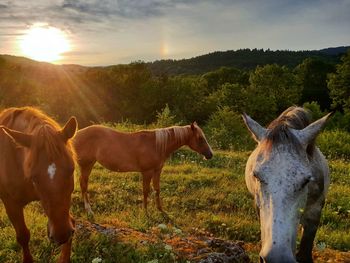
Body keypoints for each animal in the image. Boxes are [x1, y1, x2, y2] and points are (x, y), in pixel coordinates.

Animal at [0, 108, 77, 263]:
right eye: (34, 177)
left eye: (71, 169)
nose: (61, 235)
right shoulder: (11, 204)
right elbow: (23, 236)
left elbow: (71, 220)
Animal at [72, 122, 212, 216]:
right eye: (200, 138)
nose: (210, 155)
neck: (156, 144)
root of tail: (76, 135)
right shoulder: (147, 172)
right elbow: (146, 191)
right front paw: (145, 211)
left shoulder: (157, 171)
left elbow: (157, 189)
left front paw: (160, 210)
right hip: (86, 165)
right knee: (84, 184)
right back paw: (89, 210)